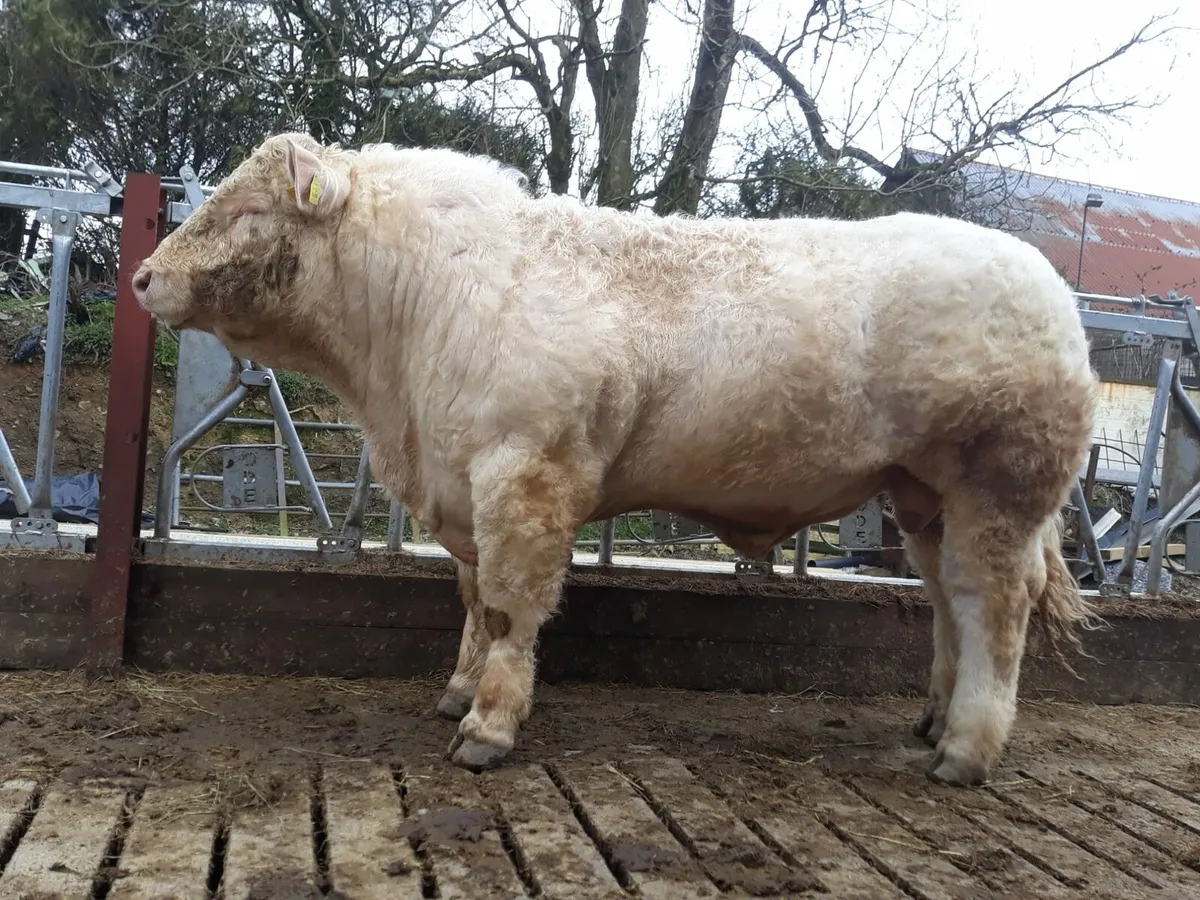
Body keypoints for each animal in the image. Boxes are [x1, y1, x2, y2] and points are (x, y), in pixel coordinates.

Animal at [131, 132, 1100, 787]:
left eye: (248, 211)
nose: (141, 277)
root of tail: (1049, 288)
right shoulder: (464, 485)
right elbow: (472, 601)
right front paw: (458, 689)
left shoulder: (524, 475)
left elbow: (510, 609)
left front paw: (487, 726)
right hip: (923, 498)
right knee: (947, 605)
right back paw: (934, 721)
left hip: (998, 493)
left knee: (994, 609)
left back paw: (968, 749)